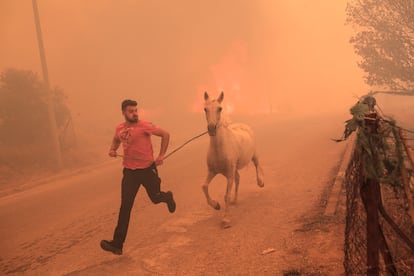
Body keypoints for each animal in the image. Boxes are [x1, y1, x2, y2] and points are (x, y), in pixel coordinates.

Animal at [201, 91, 266, 227]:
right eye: (205, 109)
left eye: (220, 108)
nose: (211, 128)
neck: (220, 148)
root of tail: (244, 125)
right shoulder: (212, 171)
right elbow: (204, 186)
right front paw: (216, 205)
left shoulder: (229, 174)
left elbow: (226, 195)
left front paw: (225, 220)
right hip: (234, 168)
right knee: (238, 179)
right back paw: (235, 200)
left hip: (254, 156)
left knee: (257, 165)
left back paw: (260, 182)